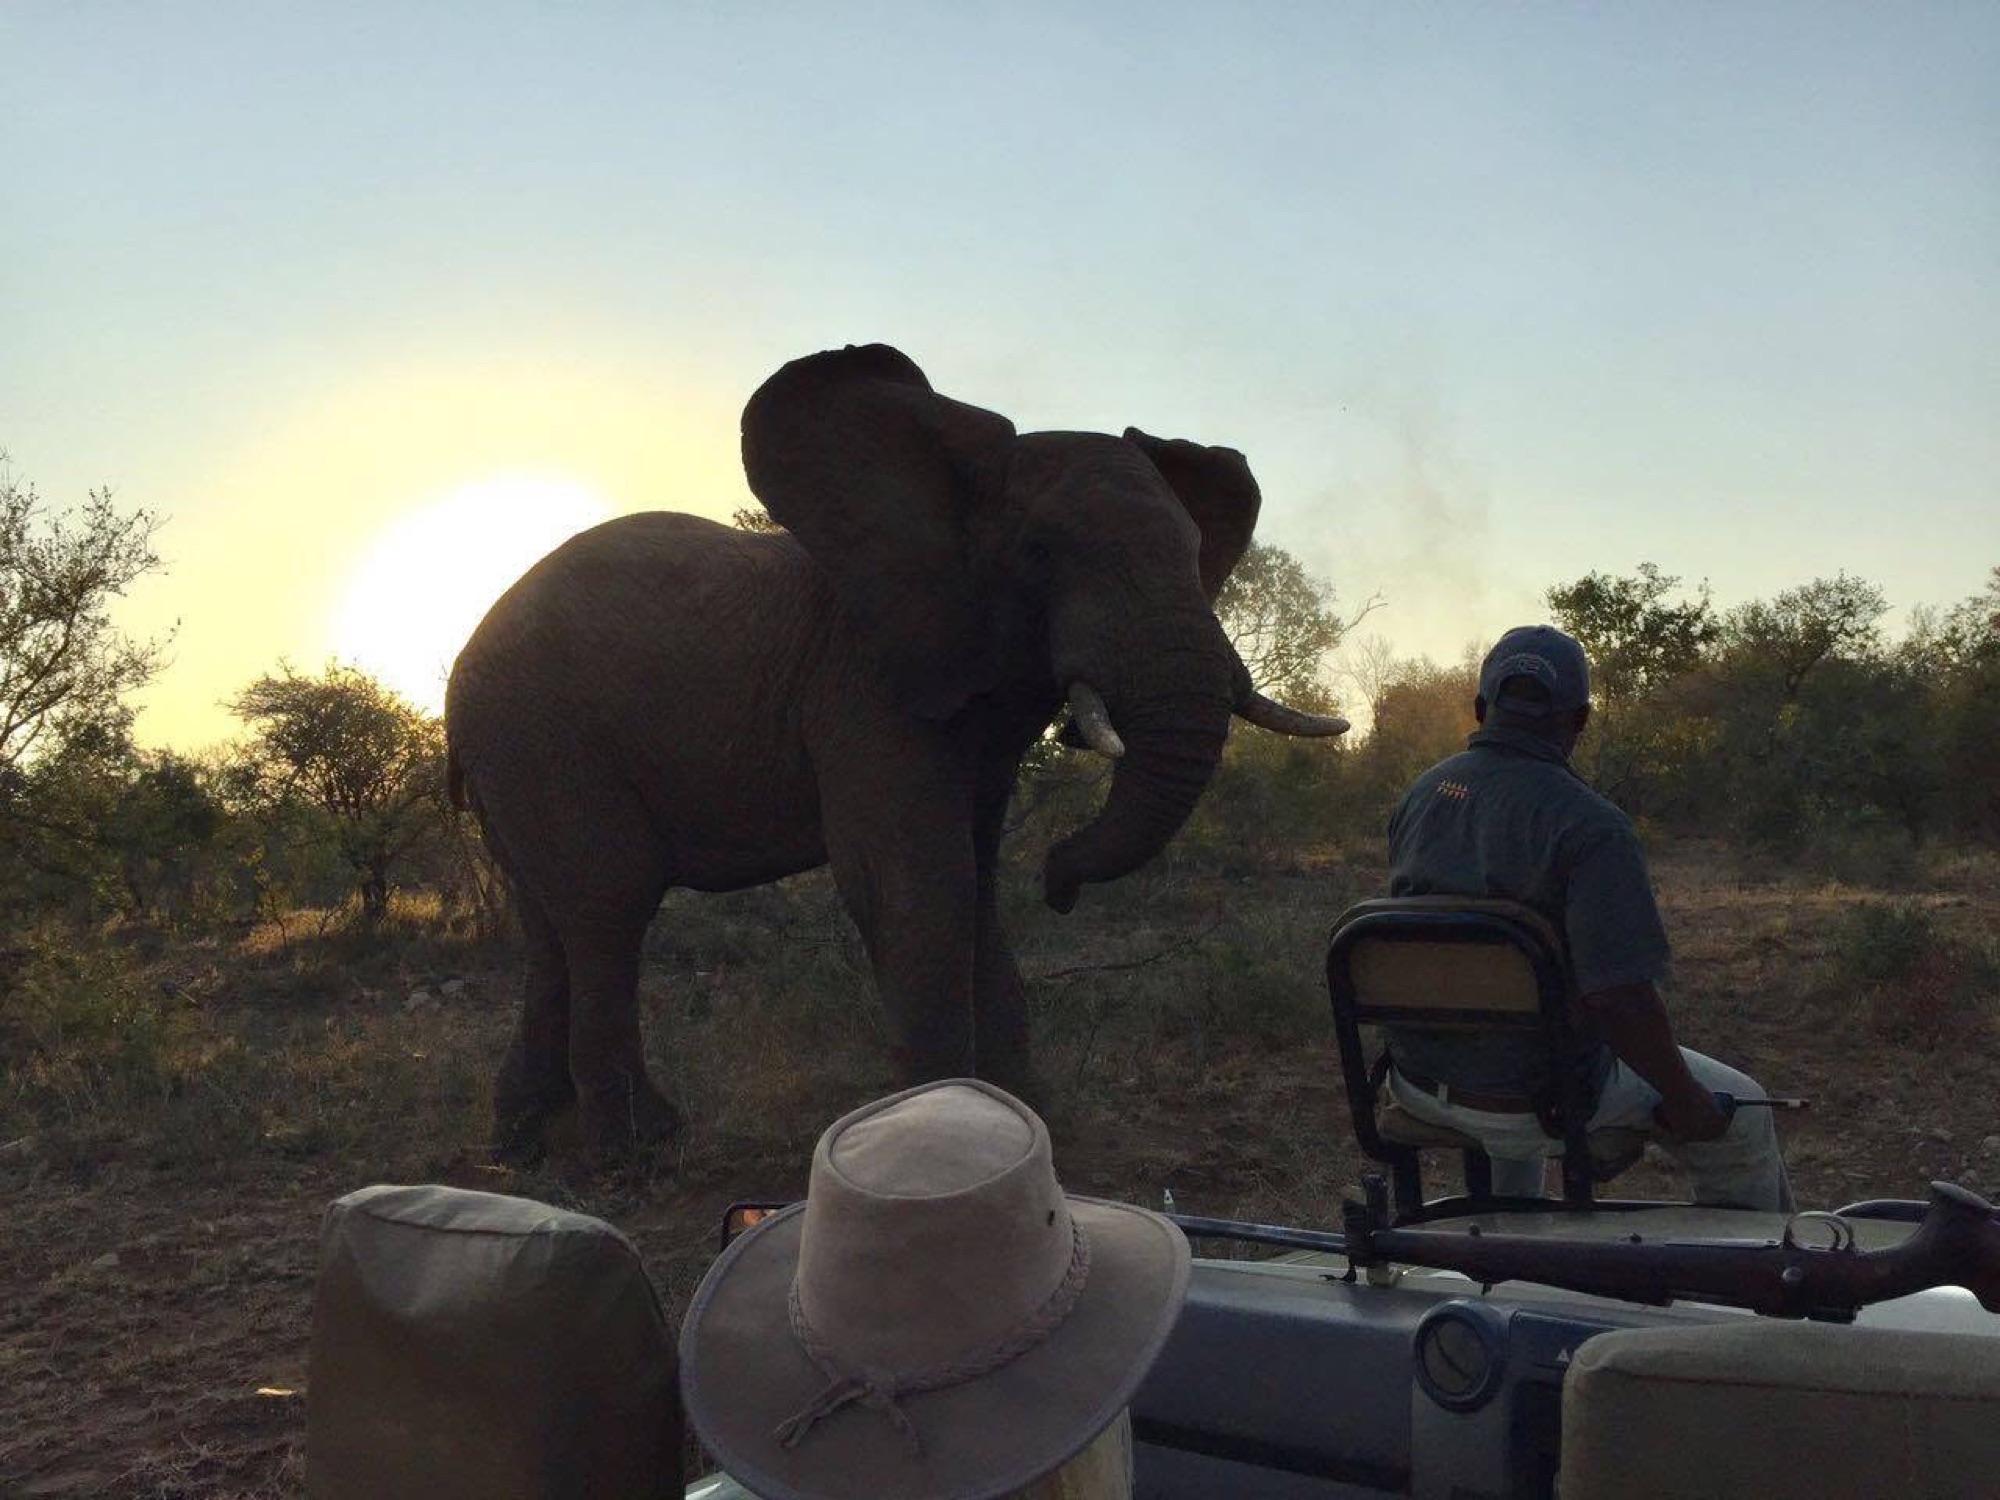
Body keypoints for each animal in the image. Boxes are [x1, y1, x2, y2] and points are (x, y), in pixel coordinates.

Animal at [445, 343, 1347, 1161]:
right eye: (1040, 552)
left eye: (1195, 554)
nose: (1058, 882)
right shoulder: (864, 682)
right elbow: (917, 878)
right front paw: (948, 1127)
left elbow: (977, 880)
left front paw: (1029, 1116)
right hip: (541, 732)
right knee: (609, 902)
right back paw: (637, 1152)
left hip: (514, 750)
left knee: (549, 921)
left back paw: (523, 1142)